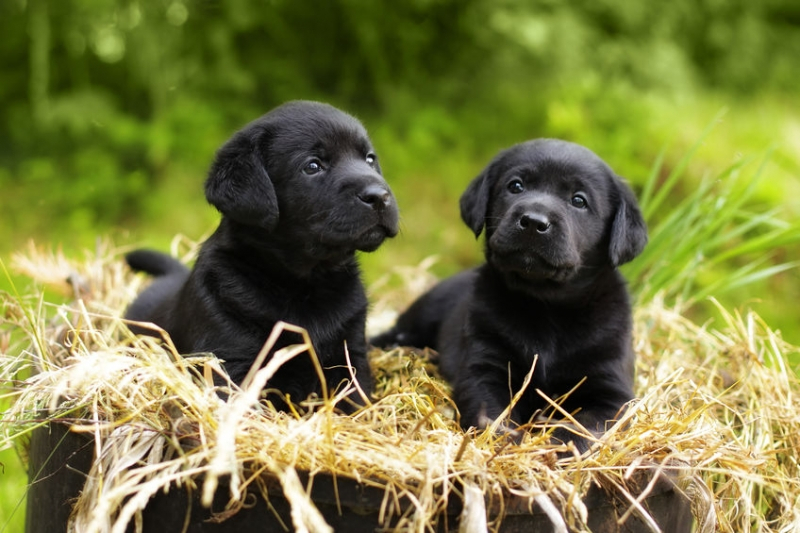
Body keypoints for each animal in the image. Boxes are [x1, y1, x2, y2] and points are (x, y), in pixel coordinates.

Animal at [126, 101, 398, 412]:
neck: (304, 282)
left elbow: (355, 399)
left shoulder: (350, 355)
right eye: (313, 166)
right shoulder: (230, 360)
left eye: (369, 159)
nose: (380, 196)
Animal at [372, 139, 648, 450]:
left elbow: (585, 426)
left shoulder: (611, 391)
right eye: (516, 186)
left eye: (579, 200)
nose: (534, 222)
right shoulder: (485, 368)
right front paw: (504, 442)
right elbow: (492, 413)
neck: (547, 306)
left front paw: (559, 448)